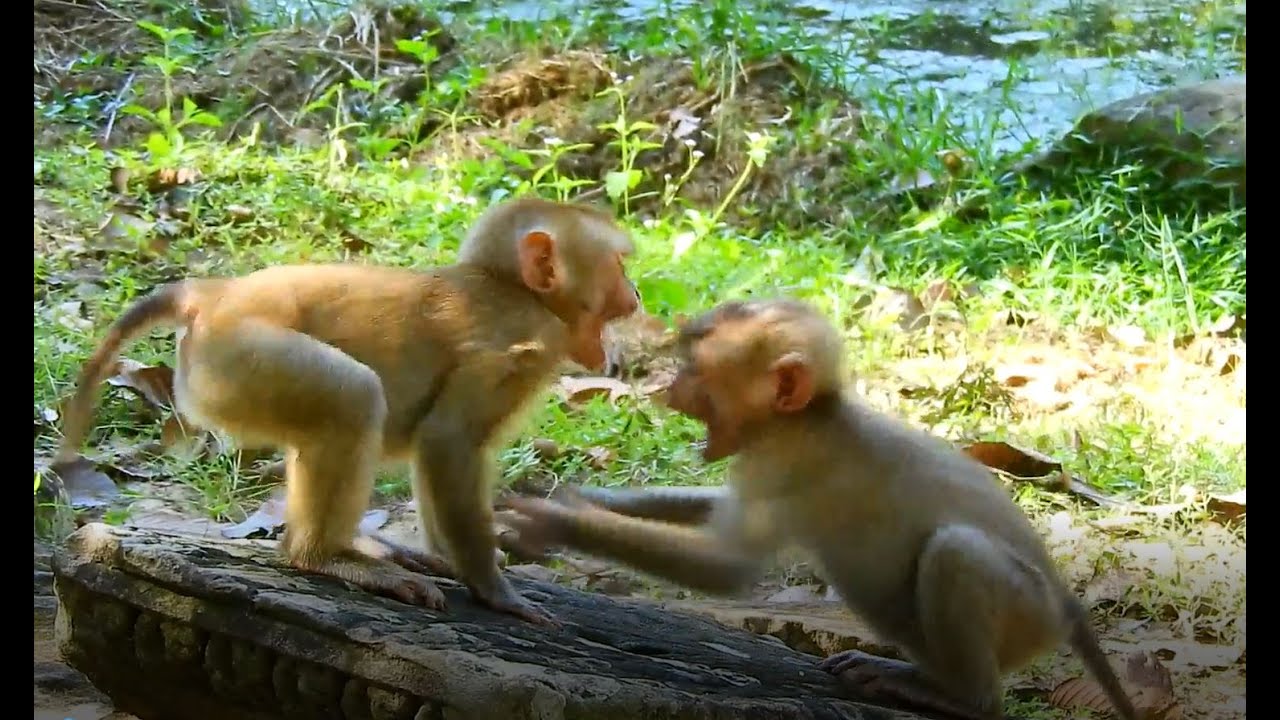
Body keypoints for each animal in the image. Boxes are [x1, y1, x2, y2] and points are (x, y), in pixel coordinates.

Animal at [54, 196, 640, 625]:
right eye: (617, 266)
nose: (635, 294)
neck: (515, 289)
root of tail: (215, 295)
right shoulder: (516, 344)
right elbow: (448, 440)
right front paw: (492, 587)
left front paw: (448, 558)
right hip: (237, 358)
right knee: (352, 395)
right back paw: (319, 556)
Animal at [502, 298, 1140, 719]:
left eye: (696, 372)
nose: (667, 391)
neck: (805, 420)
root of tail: (1067, 606)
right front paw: (578, 498)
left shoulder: (790, 466)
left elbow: (728, 567)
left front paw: (554, 521)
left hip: (1027, 614)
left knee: (957, 553)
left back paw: (958, 696)